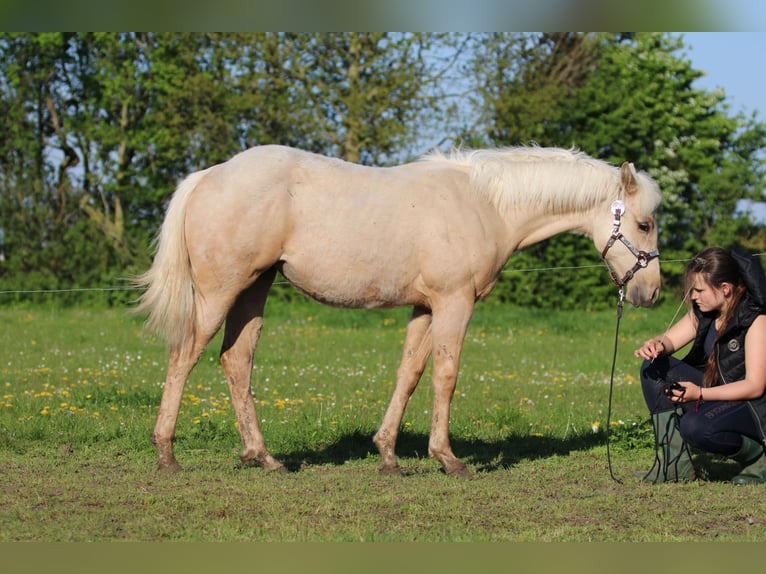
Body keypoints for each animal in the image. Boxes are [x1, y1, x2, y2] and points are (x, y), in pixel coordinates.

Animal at [135, 146, 664, 480]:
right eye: (644, 223)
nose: (652, 291)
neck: (486, 205)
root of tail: (209, 175)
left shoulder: (425, 307)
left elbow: (409, 374)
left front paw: (388, 454)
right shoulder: (454, 302)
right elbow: (446, 375)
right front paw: (448, 459)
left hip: (254, 290)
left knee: (236, 361)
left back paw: (262, 457)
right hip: (219, 292)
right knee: (183, 357)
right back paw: (166, 455)